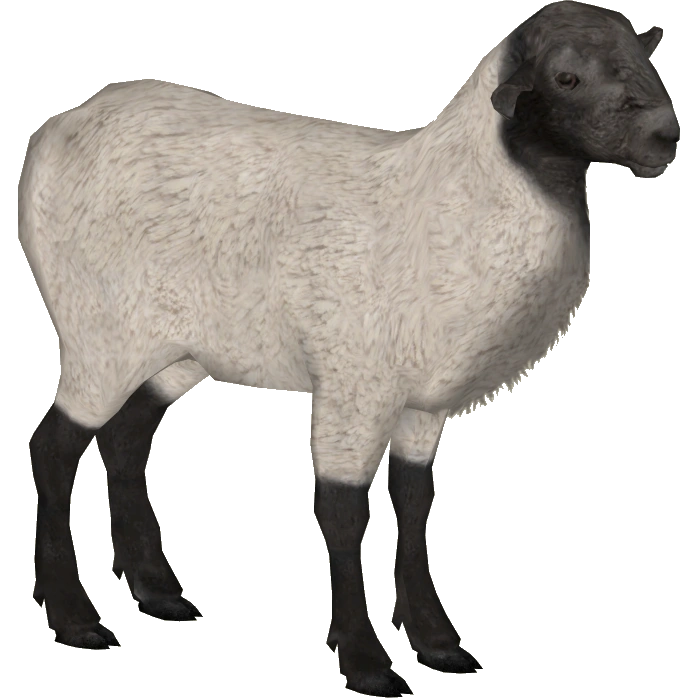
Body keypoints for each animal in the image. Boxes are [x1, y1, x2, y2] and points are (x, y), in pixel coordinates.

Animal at [18, 1, 678, 696]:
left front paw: (440, 646)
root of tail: (60, 126)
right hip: (98, 332)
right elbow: (341, 514)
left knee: (126, 440)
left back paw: (161, 595)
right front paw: (366, 663)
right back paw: (76, 622)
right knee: (55, 448)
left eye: (646, 55)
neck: (458, 202)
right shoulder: (356, 384)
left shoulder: (421, 409)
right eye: (566, 77)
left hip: (173, 347)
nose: (666, 133)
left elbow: (414, 508)